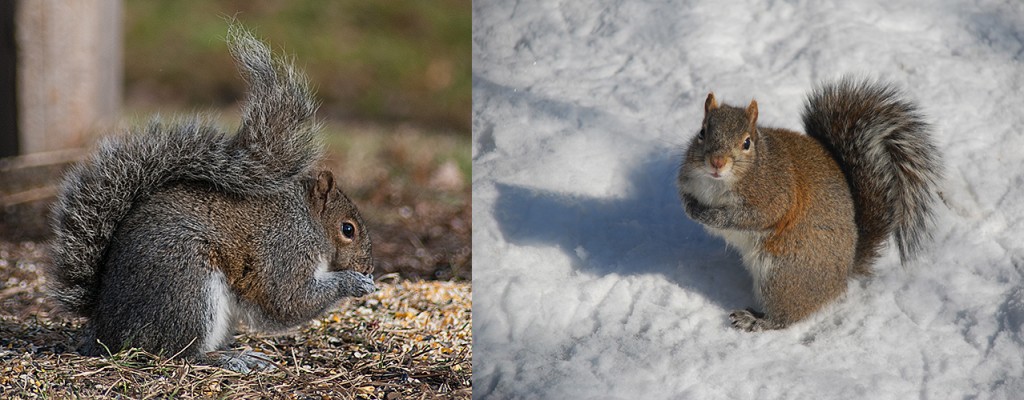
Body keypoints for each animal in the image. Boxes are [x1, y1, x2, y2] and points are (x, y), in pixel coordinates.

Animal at [46, 27, 378, 372]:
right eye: (348, 229)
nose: (368, 267)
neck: (309, 220)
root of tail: (104, 327)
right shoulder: (286, 248)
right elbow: (288, 300)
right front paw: (354, 282)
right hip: (188, 284)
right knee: (178, 351)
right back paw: (230, 357)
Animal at [679, 78, 942, 331]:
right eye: (702, 132)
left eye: (746, 142)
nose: (717, 162)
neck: (718, 183)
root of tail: (843, 274)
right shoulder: (687, 179)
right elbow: (684, 196)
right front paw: (691, 208)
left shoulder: (775, 196)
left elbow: (755, 217)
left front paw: (714, 217)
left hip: (782, 275)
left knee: (784, 317)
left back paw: (756, 321)